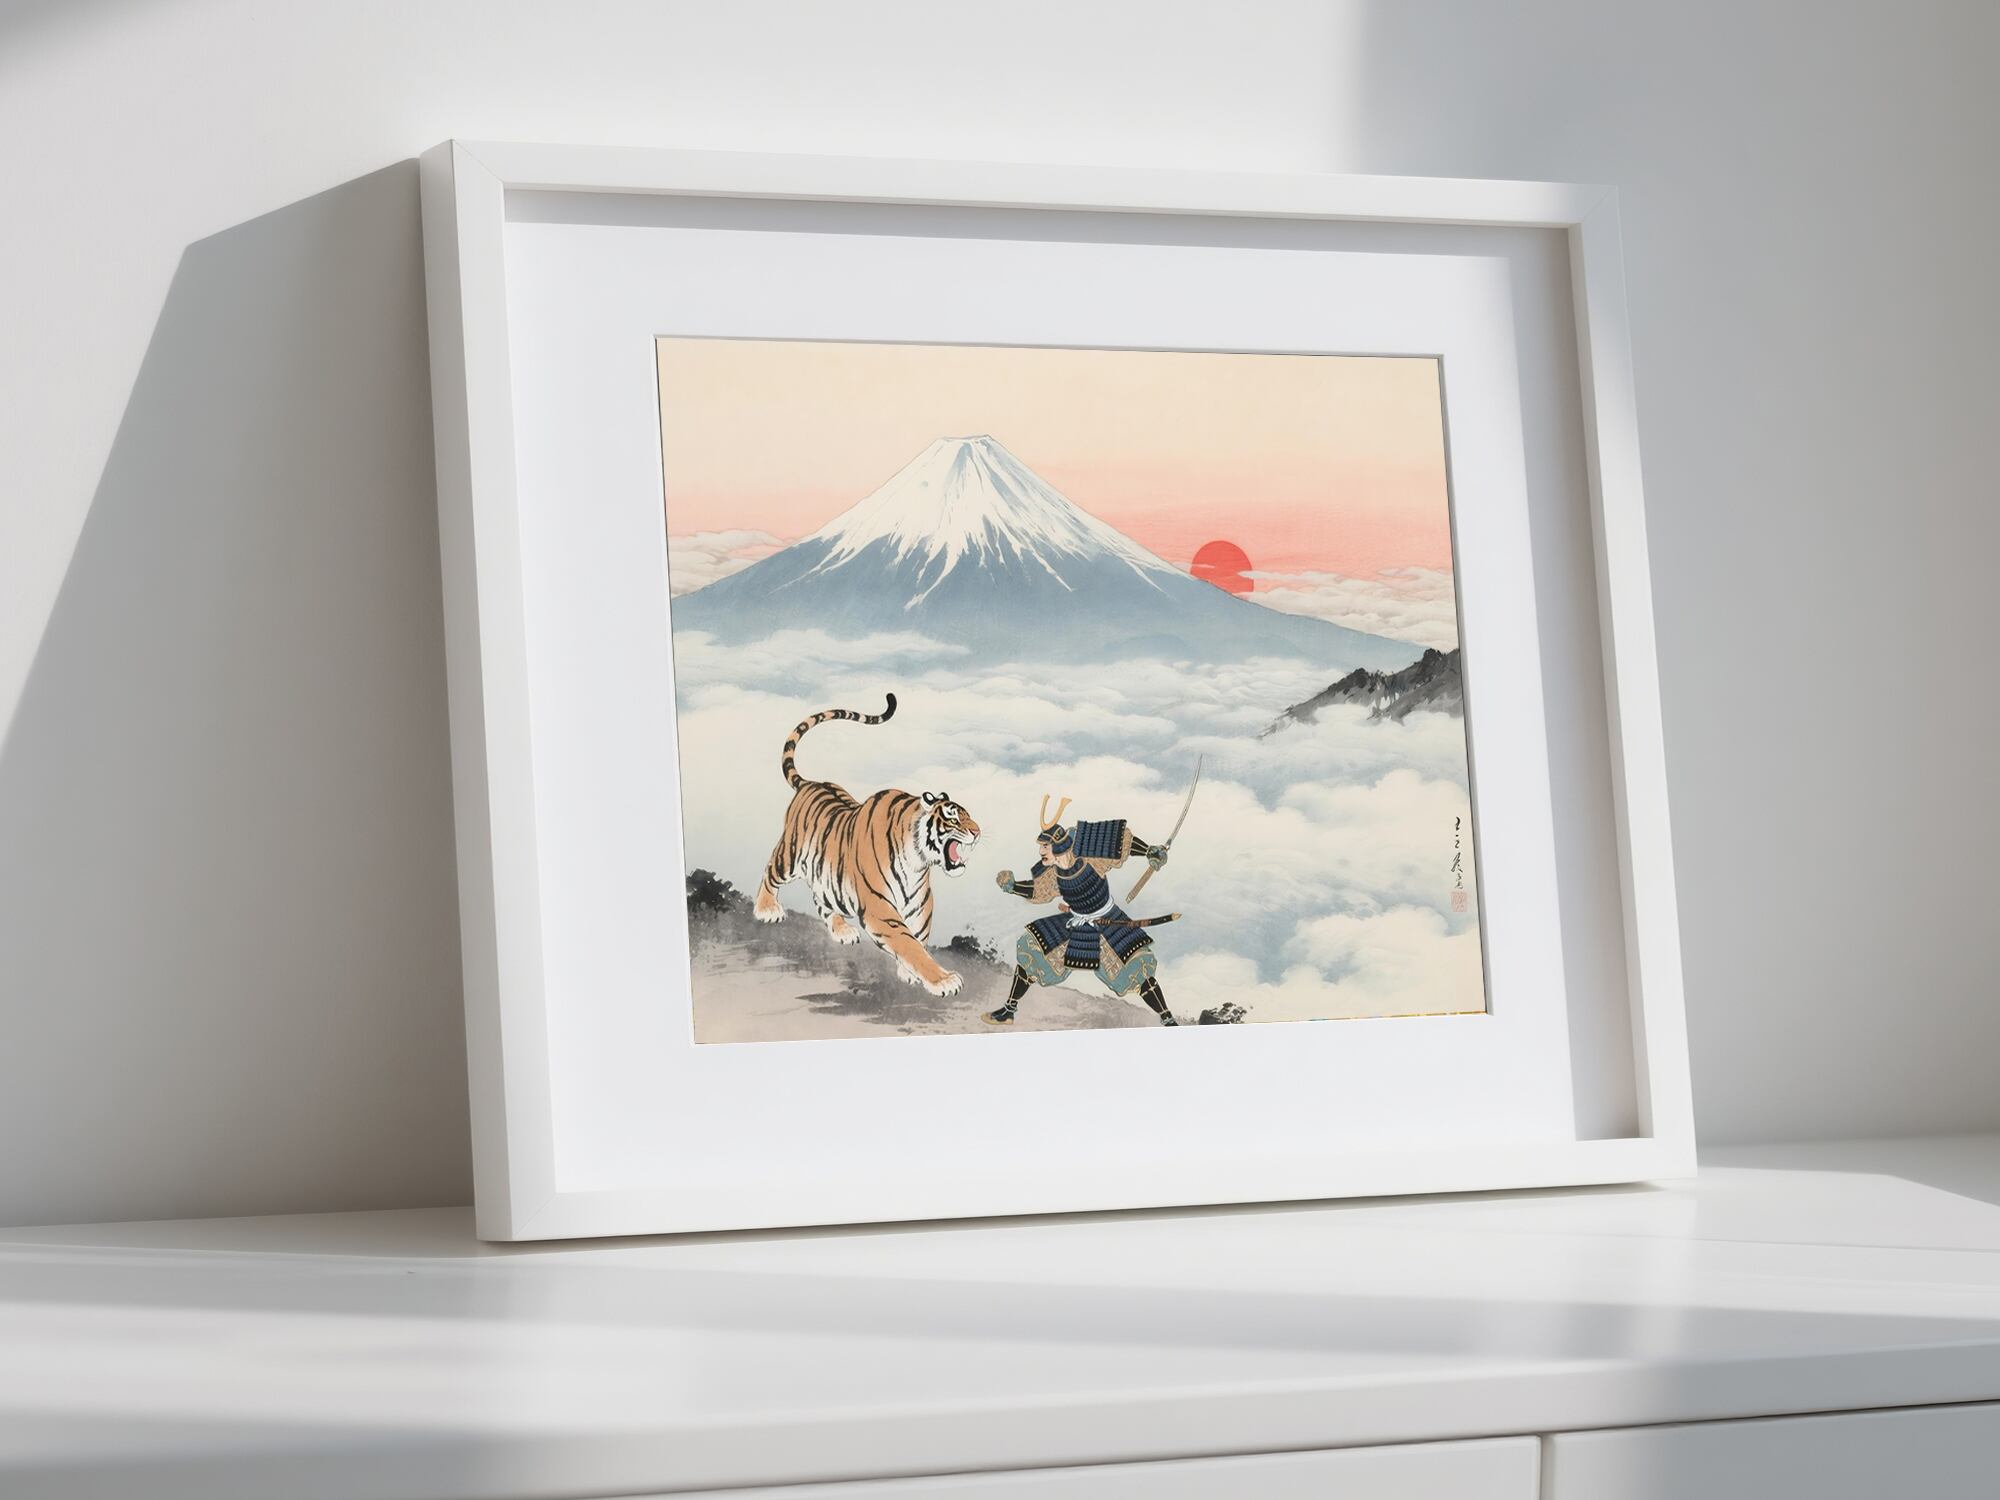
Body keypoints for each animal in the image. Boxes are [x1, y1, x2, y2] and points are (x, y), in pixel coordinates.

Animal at [752, 694, 981, 997]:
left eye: (969, 815)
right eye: (954, 817)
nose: (978, 832)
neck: (918, 861)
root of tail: (810, 783)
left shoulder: (921, 904)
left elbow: (918, 937)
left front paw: (908, 973)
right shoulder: (879, 907)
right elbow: (909, 943)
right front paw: (943, 980)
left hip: (825, 876)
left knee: (821, 900)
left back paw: (842, 931)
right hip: (789, 855)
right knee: (770, 872)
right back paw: (766, 909)